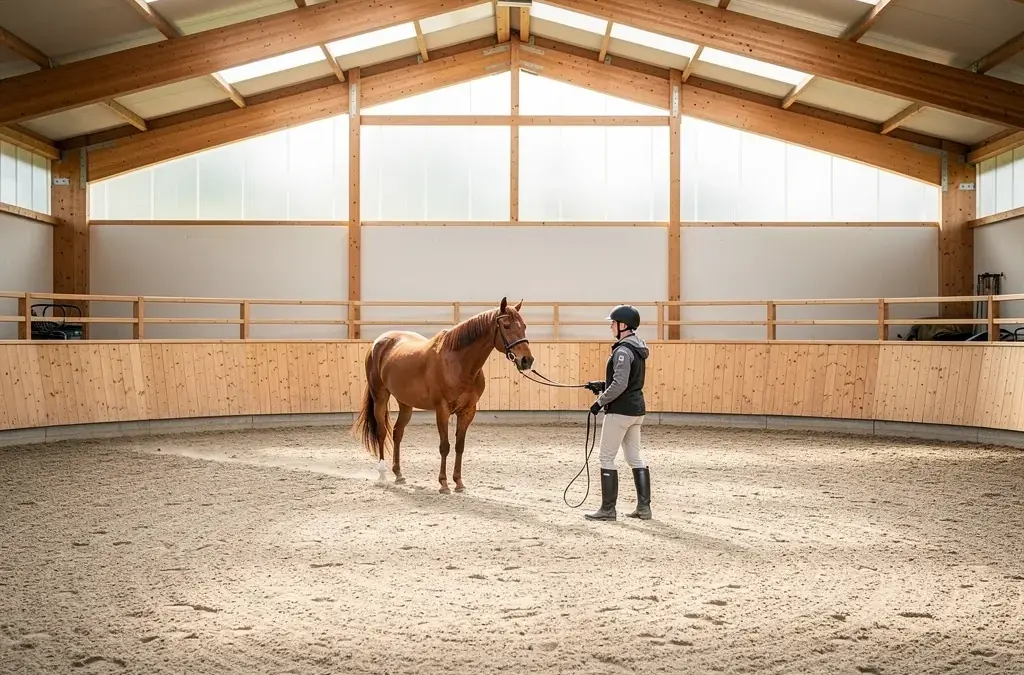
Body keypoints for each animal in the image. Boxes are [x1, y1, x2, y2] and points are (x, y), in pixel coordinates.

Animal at [353, 297, 535, 494]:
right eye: (507, 326)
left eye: (524, 326)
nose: (527, 360)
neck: (458, 363)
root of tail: (379, 342)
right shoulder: (442, 410)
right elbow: (445, 446)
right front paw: (444, 484)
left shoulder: (468, 411)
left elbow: (459, 446)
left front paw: (459, 483)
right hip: (380, 397)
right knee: (381, 432)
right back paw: (382, 474)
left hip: (405, 403)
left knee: (397, 433)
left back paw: (399, 474)